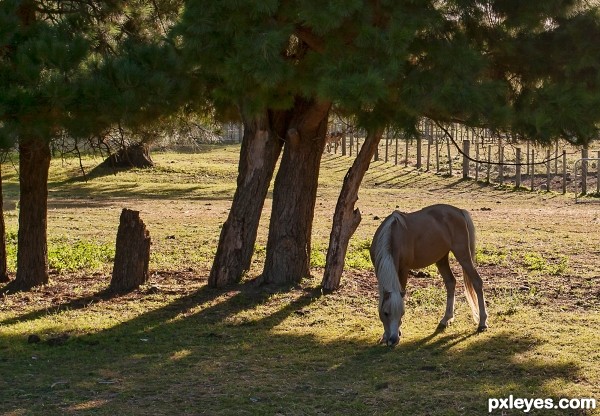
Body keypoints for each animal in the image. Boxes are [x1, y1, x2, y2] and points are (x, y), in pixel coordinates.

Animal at [368, 203, 490, 346]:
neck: (393, 234)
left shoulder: (403, 269)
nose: (393, 340)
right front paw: (384, 336)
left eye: (402, 313)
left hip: (462, 253)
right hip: (441, 259)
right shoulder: (378, 270)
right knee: (450, 282)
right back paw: (446, 319)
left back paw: (482, 323)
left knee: (477, 282)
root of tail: (459, 211)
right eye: (386, 313)